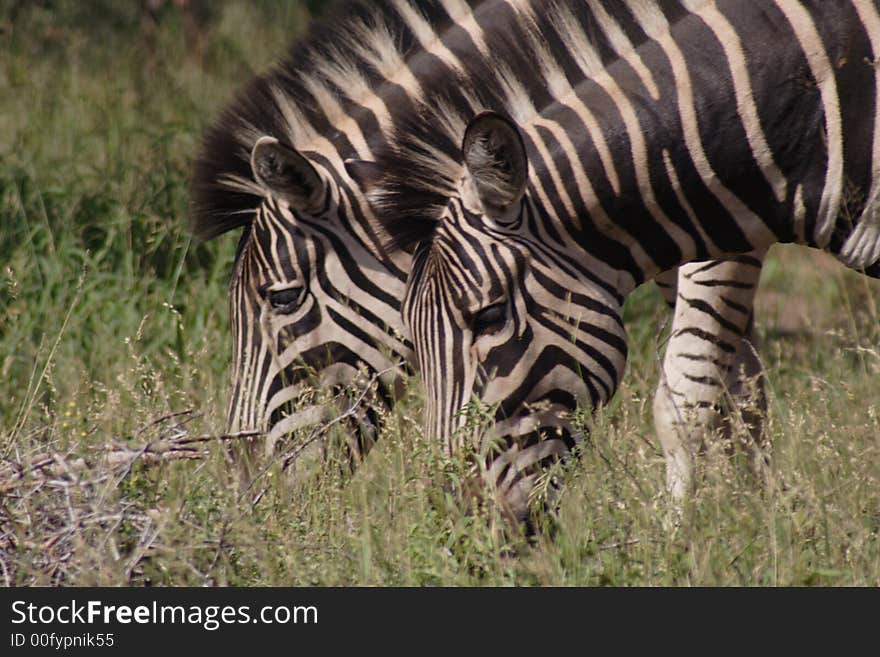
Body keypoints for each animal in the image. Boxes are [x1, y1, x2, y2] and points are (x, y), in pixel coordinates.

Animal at [192, 0, 764, 492]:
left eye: (283, 297)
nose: (243, 484)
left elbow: (690, 399)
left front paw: (699, 529)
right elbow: (740, 386)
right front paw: (746, 510)